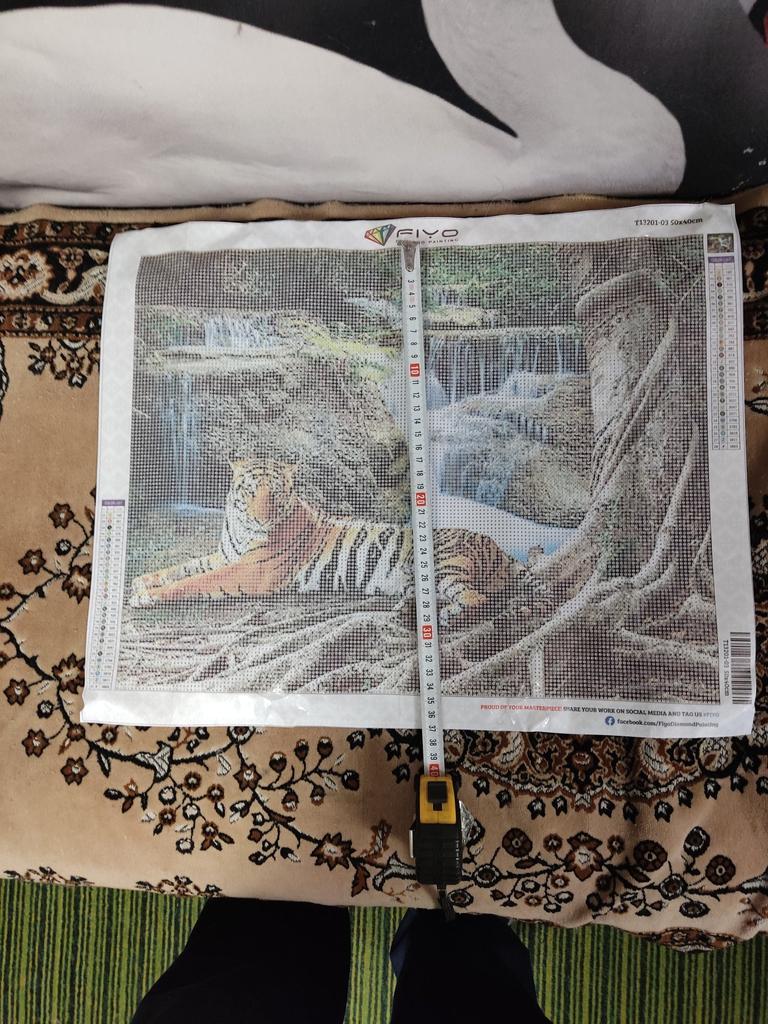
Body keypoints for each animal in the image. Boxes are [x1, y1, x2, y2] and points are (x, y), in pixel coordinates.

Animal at [130, 458, 522, 624]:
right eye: (251, 491)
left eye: (275, 494)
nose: (261, 517)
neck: (241, 527)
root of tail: (500, 548)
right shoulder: (227, 555)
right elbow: (185, 567)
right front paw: (141, 582)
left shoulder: (250, 571)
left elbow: (195, 581)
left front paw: (147, 596)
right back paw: (405, 610)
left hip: (446, 564)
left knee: (477, 598)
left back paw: (450, 615)